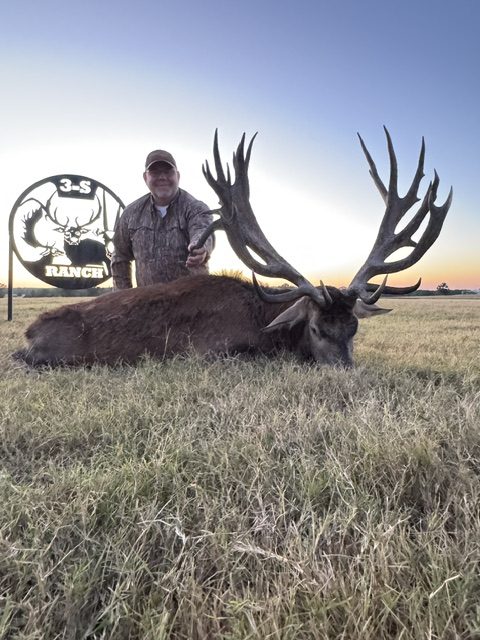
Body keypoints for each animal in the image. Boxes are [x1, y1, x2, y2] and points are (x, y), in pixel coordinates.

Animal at [13, 128, 452, 368]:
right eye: (315, 328)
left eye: (354, 328)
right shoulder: (211, 353)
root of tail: (30, 331)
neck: (264, 322)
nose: (345, 371)